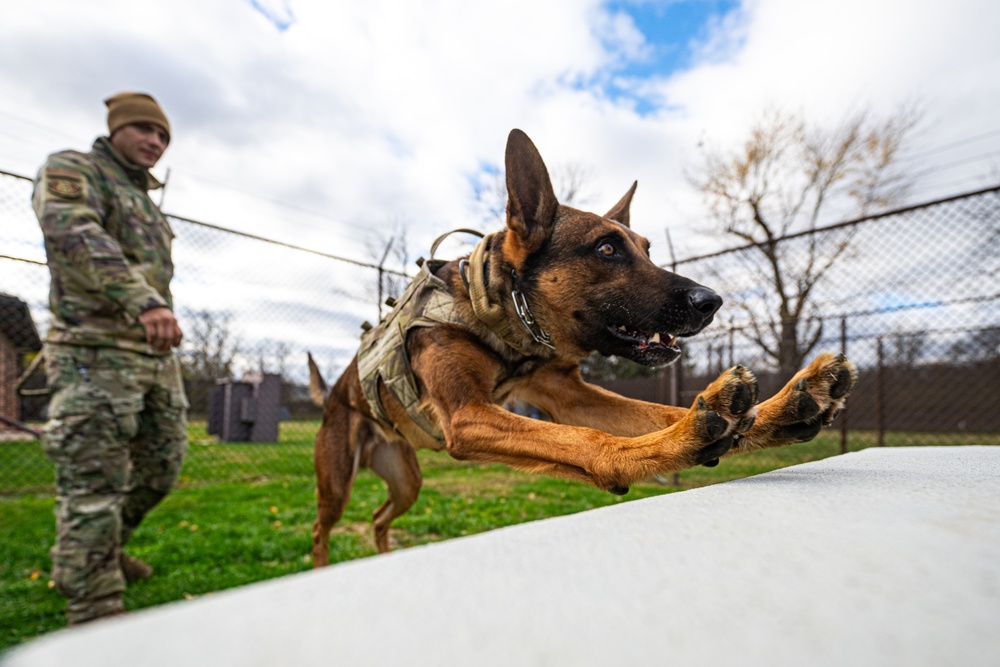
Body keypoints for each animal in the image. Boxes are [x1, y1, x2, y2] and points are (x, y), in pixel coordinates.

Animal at [308, 129, 856, 564]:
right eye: (606, 249)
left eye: (647, 250)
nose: (712, 302)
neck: (500, 310)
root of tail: (333, 397)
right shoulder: (467, 415)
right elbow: (587, 440)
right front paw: (689, 438)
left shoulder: (572, 396)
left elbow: (663, 411)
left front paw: (780, 410)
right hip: (337, 482)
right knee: (320, 528)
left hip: (406, 481)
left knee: (380, 517)